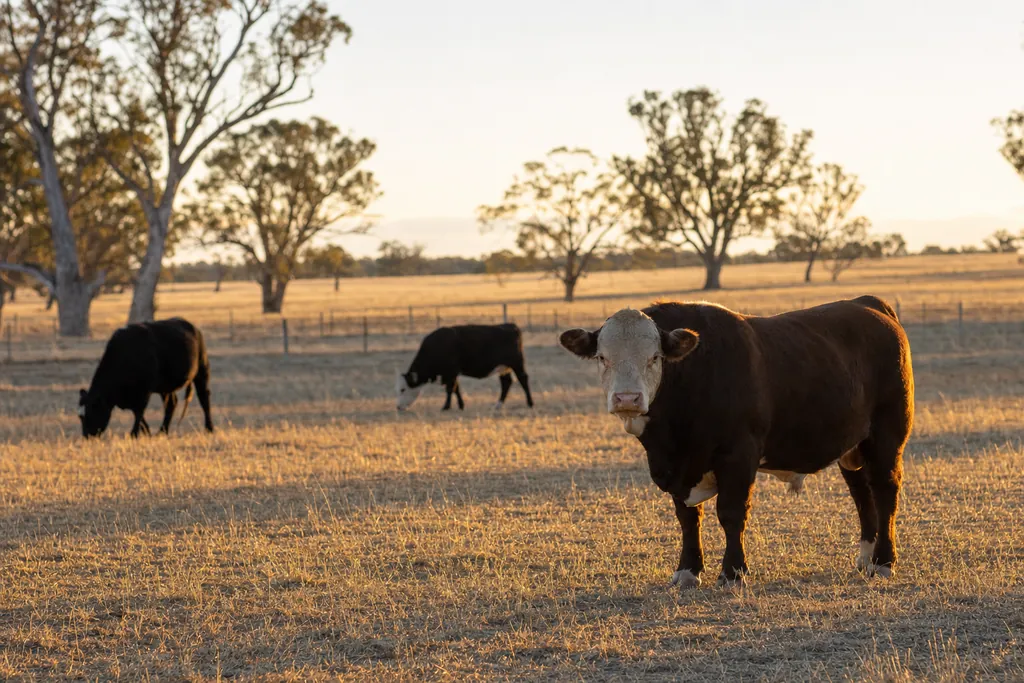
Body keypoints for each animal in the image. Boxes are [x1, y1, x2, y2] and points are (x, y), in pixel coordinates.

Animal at [77, 317, 214, 438]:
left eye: (92, 410)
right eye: (81, 416)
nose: (86, 435)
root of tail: (193, 327)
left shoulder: (144, 391)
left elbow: (139, 411)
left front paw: (134, 434)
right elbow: (137, 412)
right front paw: (146, 432)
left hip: (202, 370)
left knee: (204, 398)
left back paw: (209, 428)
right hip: (165, 386)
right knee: (171, 404)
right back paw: (162, 431)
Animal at [396, 323, 534, 411]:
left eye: (402, 389)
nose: (398, 407)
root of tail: (511, 326)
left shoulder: (451, 372)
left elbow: (450, 389)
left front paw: (446, 407)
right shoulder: (452, 374)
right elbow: (456, 389)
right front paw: (461, 405)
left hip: (517, 364)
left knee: (523, 379)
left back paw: (530, 403)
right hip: (503, 368)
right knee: (506, 383)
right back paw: (498, 405)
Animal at [558, 296, 913, 588]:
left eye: (655, 357)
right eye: (602, 357)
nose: (627, 398)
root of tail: (867, 303)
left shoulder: (739, 455)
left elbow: (730, 513)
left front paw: (732, 572)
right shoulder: (679, 468)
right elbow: (688, 518)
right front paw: (688, 570)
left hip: (887, 434)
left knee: (884, 490)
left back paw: (883, 561)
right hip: (852, 447)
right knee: (861, 492)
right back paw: (866, 557)